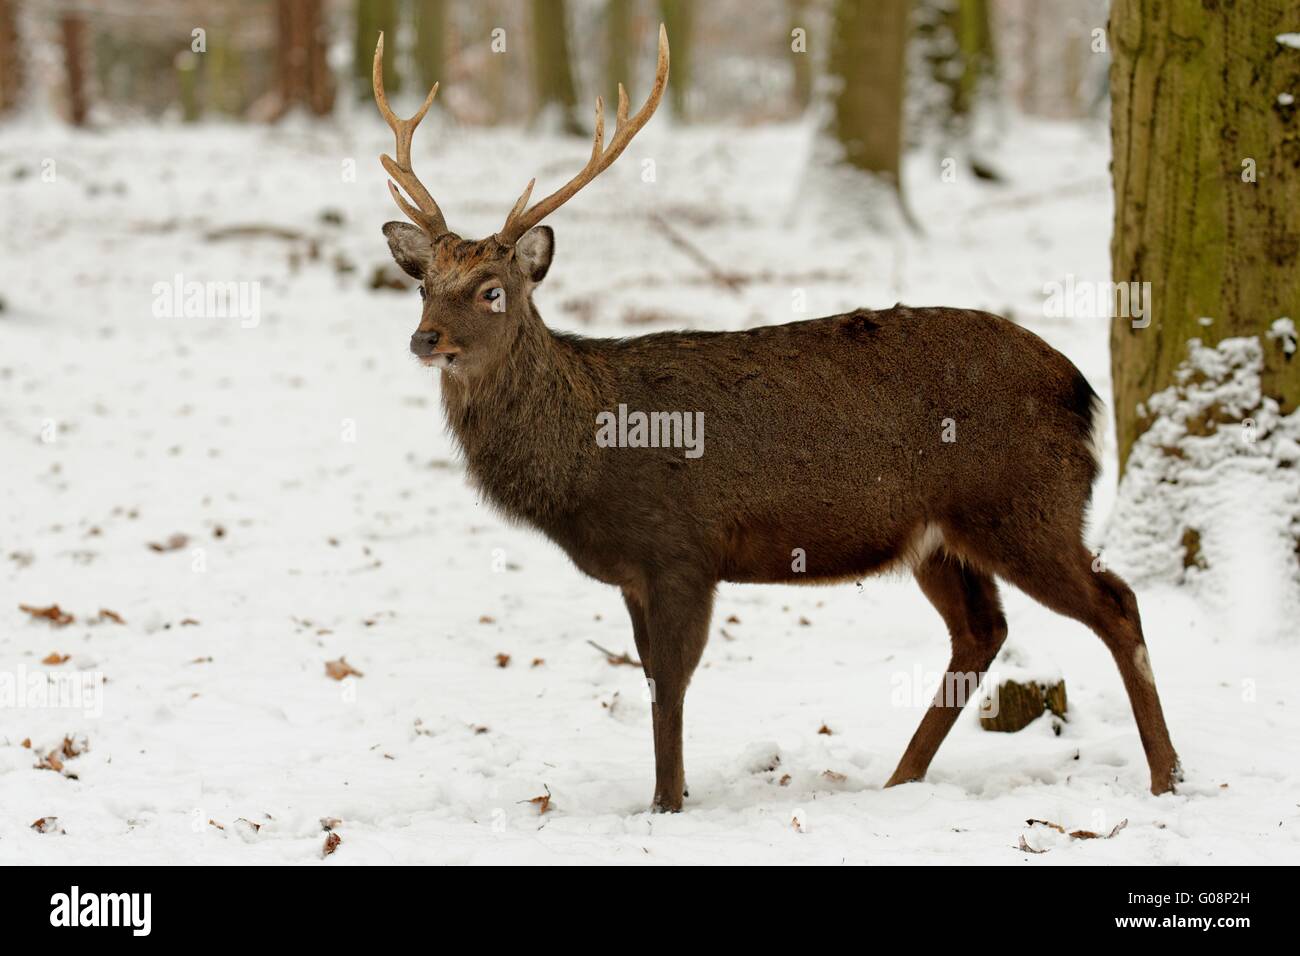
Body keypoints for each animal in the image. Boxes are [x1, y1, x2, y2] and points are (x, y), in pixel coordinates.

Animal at [369, 26, 1180, 811]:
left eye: (492, 290)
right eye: (425, 287)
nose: (424, 339)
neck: (588, 459)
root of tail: (1081, 388)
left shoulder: (682, 550)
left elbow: (672, 686)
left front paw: (666, 805)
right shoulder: (636, 573)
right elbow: (652, 679)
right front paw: (671, 794)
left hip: (1024, 504)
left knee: (1116, 603)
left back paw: (1166, 777)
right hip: (941, 535)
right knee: (982, 630)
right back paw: (900, 781)